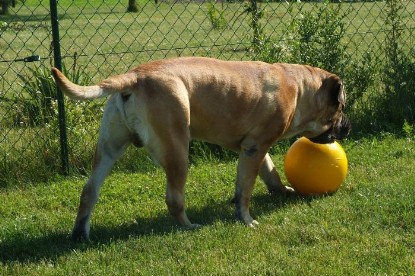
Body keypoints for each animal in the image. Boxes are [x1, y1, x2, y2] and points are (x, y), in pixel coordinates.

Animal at [51, 57, 352, 240]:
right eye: (341, 108)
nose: (348, 127)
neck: (299, 88)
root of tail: (134, 76)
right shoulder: (255, 148)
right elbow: (245, 190)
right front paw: (246, 219)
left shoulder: (254, 148)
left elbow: (270, 172)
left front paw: (281, 190)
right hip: (177, 149)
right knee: (174, 199)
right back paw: (189, 226)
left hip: (109, 148)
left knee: (89, 191)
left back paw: (80, 233)